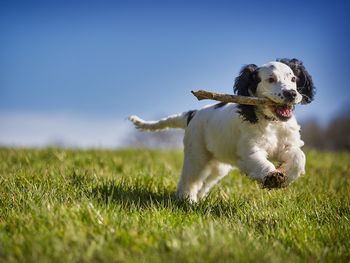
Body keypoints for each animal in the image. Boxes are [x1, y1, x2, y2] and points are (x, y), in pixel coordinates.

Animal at [129, 58, 314, 203]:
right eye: (271, 79)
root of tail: (193, 114)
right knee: (189, 179)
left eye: (293, 78)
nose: (291, 94)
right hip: (197, 155)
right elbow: (261, 162)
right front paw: (272, 177)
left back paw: (198, 199)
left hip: (218, 165)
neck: (271, 122)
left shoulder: (288, 145)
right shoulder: (250, 151)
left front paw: (286, 175)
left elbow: (299, 157)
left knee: (205, 182)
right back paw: (187, 200)